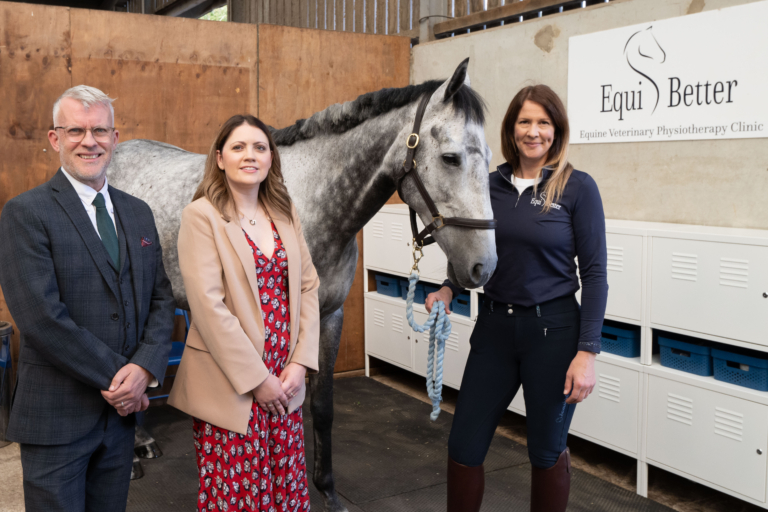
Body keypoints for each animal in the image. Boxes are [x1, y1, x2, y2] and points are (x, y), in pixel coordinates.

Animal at [112, 59, 498, 508]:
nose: (483, 267)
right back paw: (133, 453)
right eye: (451, 158)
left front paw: (327, 490)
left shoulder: (328, 316)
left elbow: (323, 407)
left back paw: (142, 439)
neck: (311, 202)